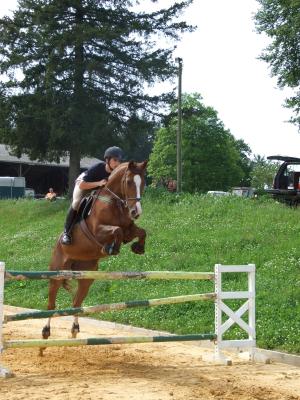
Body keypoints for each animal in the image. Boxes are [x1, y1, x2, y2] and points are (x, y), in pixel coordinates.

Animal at [41, 161, 147, 342]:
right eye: (128, 182)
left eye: (143, 183)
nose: (136, 212)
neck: (115, 202)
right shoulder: (98, 230)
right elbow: (117, 230)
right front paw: (111, 248)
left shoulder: (129, 229)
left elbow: (140, 232)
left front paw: (138, 248)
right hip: (57, 273)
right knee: (51, 304)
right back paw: (46, 332)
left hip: (87, 276)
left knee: (76, 303)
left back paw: (75, 329)